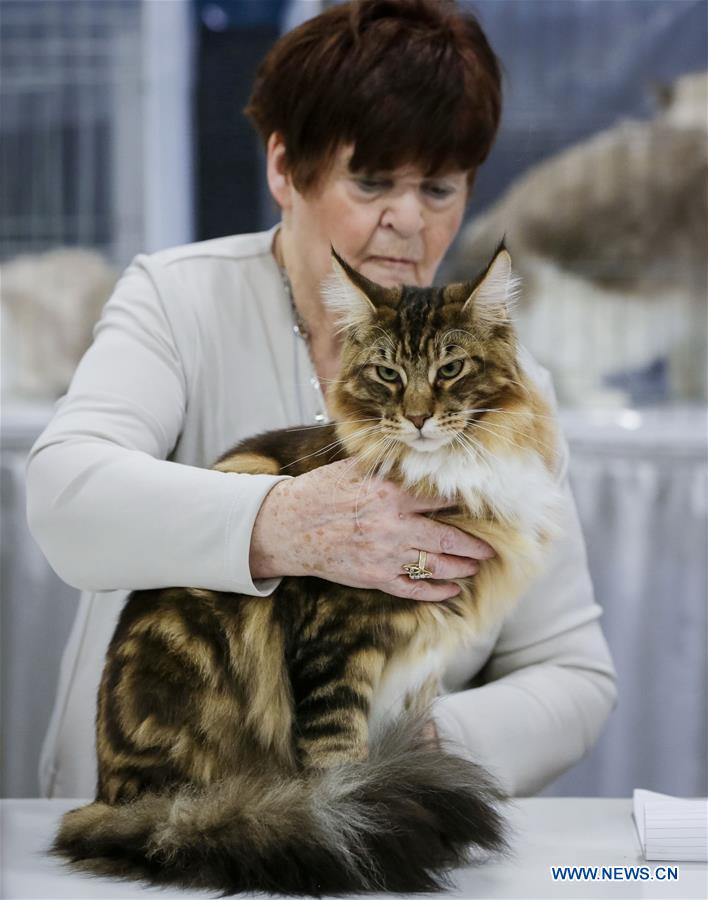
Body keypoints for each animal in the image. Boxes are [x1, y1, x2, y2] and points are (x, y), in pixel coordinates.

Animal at [51, 243, 564, 896]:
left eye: (450, 370)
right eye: (388, 375)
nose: (419, 418)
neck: (443, 474)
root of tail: (112, 802)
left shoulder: (411, 673)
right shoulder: (336, 649)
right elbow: (339, 764)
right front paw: (357, 818)